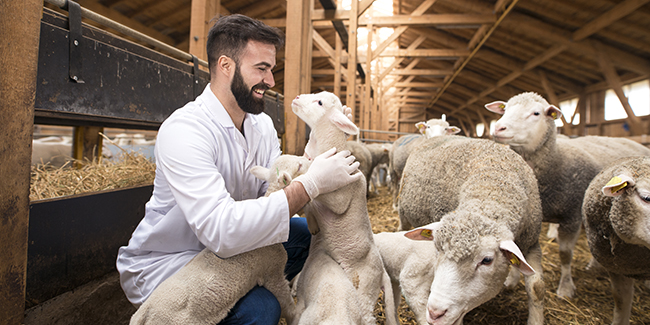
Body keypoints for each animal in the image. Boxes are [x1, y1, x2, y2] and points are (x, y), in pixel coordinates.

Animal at [130, 154, 308, 324]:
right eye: (299, 166)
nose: (309, 159)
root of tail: (142, 314)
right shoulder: (272, 272)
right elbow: (285, 302)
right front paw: (296, 315)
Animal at [290, 90, 394, 324]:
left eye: (319, 102)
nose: (296, 97)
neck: (327, 148)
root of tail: (382, 271)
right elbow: (309, 199)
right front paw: (313, 225)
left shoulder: (339, 198)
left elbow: (312, 180)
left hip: (363, 289)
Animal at [394, 135, 548, 324]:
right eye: (436, 250)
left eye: (487, 260)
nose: (435, 313)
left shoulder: (532, 243)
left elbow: (537, 288)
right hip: (403, 209)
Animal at [484, 90, 648, 296]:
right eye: (505, 109)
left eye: (536, 113)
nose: (499, 128)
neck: (556, 162)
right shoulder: (530, 219)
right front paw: (512, 280)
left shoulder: (572, 218)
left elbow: (565, 254)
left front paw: (565, 288)